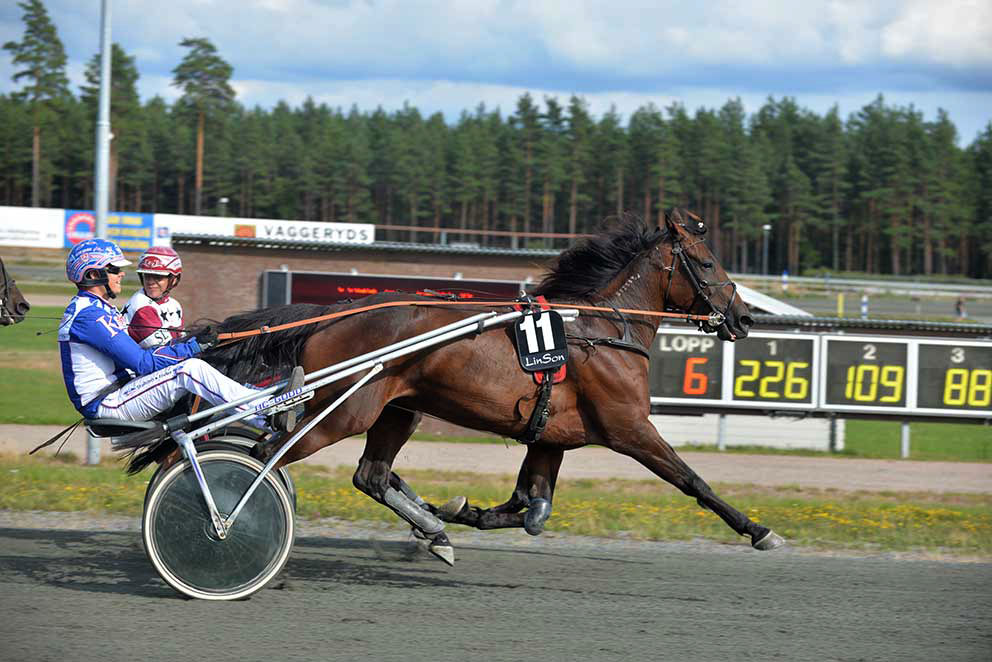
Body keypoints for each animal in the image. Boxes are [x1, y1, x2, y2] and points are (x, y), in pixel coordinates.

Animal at [132, 209, 783, 562]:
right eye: (707, 263)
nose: (745, 316)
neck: (599, 330)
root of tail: (334, 314)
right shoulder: (628, 427)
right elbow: (694, 481)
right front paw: (759, 530)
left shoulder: (552, 437)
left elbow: (530, 508)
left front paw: (456, 512)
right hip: (344, 411)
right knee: (268, 457)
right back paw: (220, 520)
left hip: (398, 409)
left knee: (370, 475)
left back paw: (432, 529)